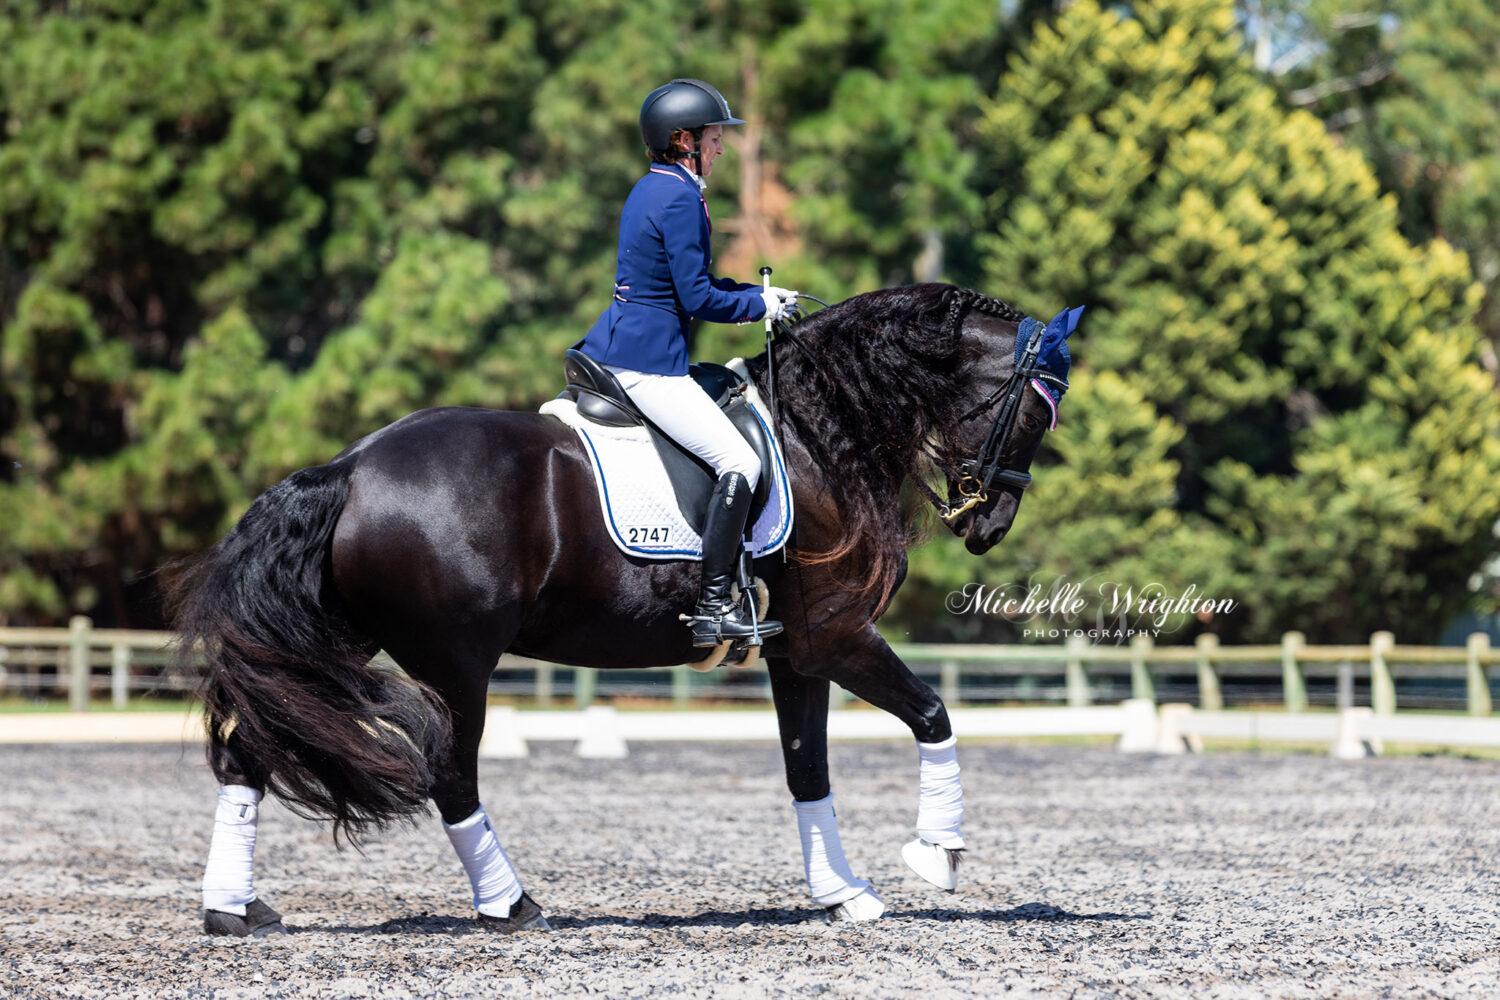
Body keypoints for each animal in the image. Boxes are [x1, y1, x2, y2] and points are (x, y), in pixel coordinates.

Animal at [170, 283, 1074, 941]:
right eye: (1035, 410)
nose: (988, 525)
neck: (822, 431)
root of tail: (349, 467)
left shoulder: (795, 651)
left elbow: (807, 771)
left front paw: (843, 893)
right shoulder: (837, 635)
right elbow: (933, 714)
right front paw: (938, 855)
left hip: (339, 647)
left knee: (250, 756)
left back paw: (234, 910)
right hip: (455, 666)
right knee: (450, 776)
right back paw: (511, 906)